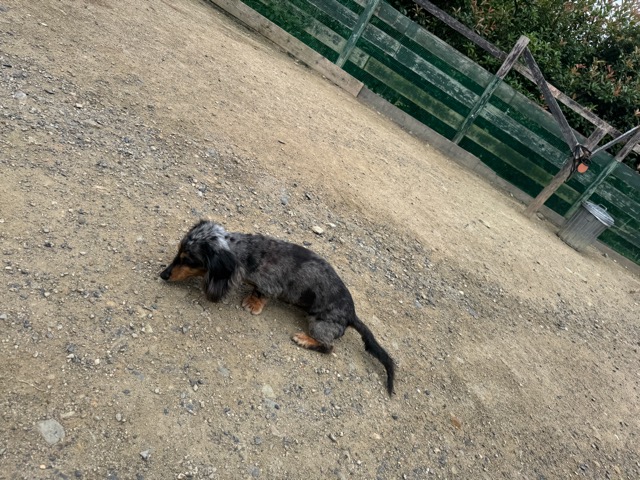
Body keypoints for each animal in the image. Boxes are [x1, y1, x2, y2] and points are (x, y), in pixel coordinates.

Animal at [160, 220, 396, 395]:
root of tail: (352, 315)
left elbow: (261, 294)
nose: (163, 275)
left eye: (189, 260)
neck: (248, 252)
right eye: (178, 252)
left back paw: (304, 340)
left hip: (319, 323)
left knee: (328, 347)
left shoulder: (270, 286)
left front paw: (253, 303)